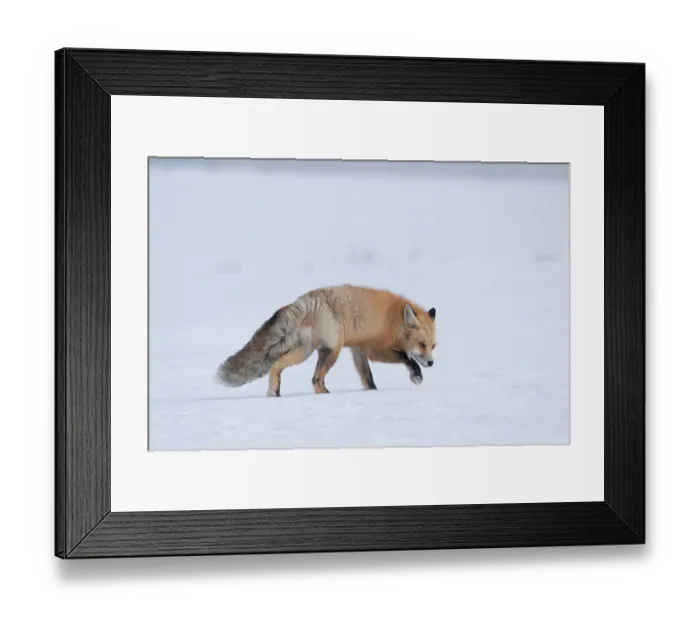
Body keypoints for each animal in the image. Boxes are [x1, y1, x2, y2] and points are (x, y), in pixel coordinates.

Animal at [215, 284, 437, 397]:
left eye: (433, 346)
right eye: (421, 345)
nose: (432, 362)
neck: (393, 321)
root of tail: (303, 301)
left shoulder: (358, 349)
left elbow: (367, 377)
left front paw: (371, 393)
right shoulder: (375, 348)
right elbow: (407, 358)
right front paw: (417, 375)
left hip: (311, 349)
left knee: (301, 373)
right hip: (328, 351)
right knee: (309, 377)